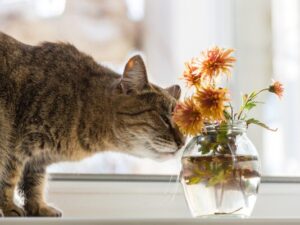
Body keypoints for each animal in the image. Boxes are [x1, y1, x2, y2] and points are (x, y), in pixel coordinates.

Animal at [0, 32, 185, 217]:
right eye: (164, 118)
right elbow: (9, 177)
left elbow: (35, 182)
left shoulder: (37, 161)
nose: (182, 143)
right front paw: (8, 207)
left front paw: (38, 207)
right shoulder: (15, 146)